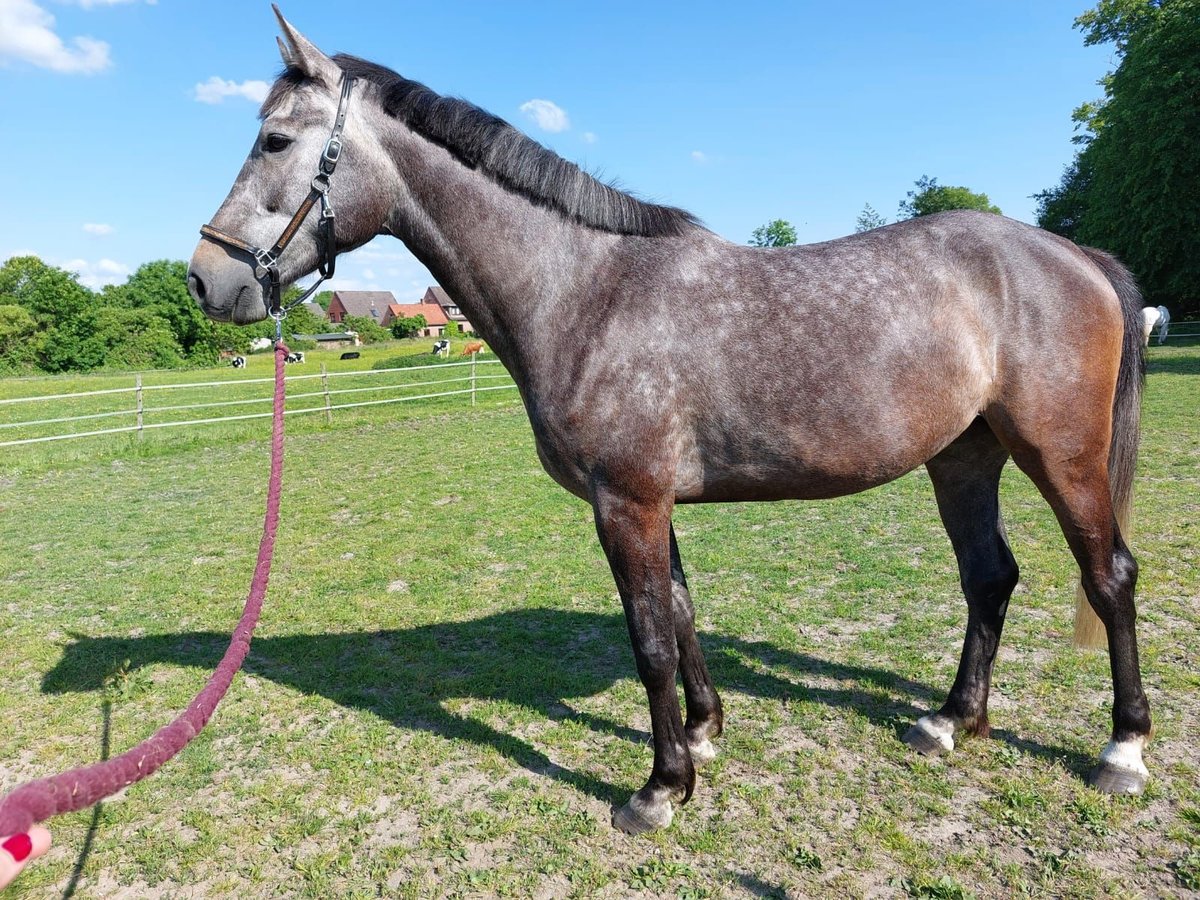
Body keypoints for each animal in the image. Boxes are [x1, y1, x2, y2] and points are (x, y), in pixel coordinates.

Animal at [187, 8, 1152, 840]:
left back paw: (1123, 749)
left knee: (1109, 576)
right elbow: (682, 613)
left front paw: (658, 789)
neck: (585, 292)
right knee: (989, 577)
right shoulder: (652, 505)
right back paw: (952, 720)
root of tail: (1075, 255)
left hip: (1062, 456)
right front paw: (701, 736)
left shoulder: (628, 504)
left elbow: (649, 637)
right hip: (963, 459)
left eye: (275, 140)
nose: (206, 278)